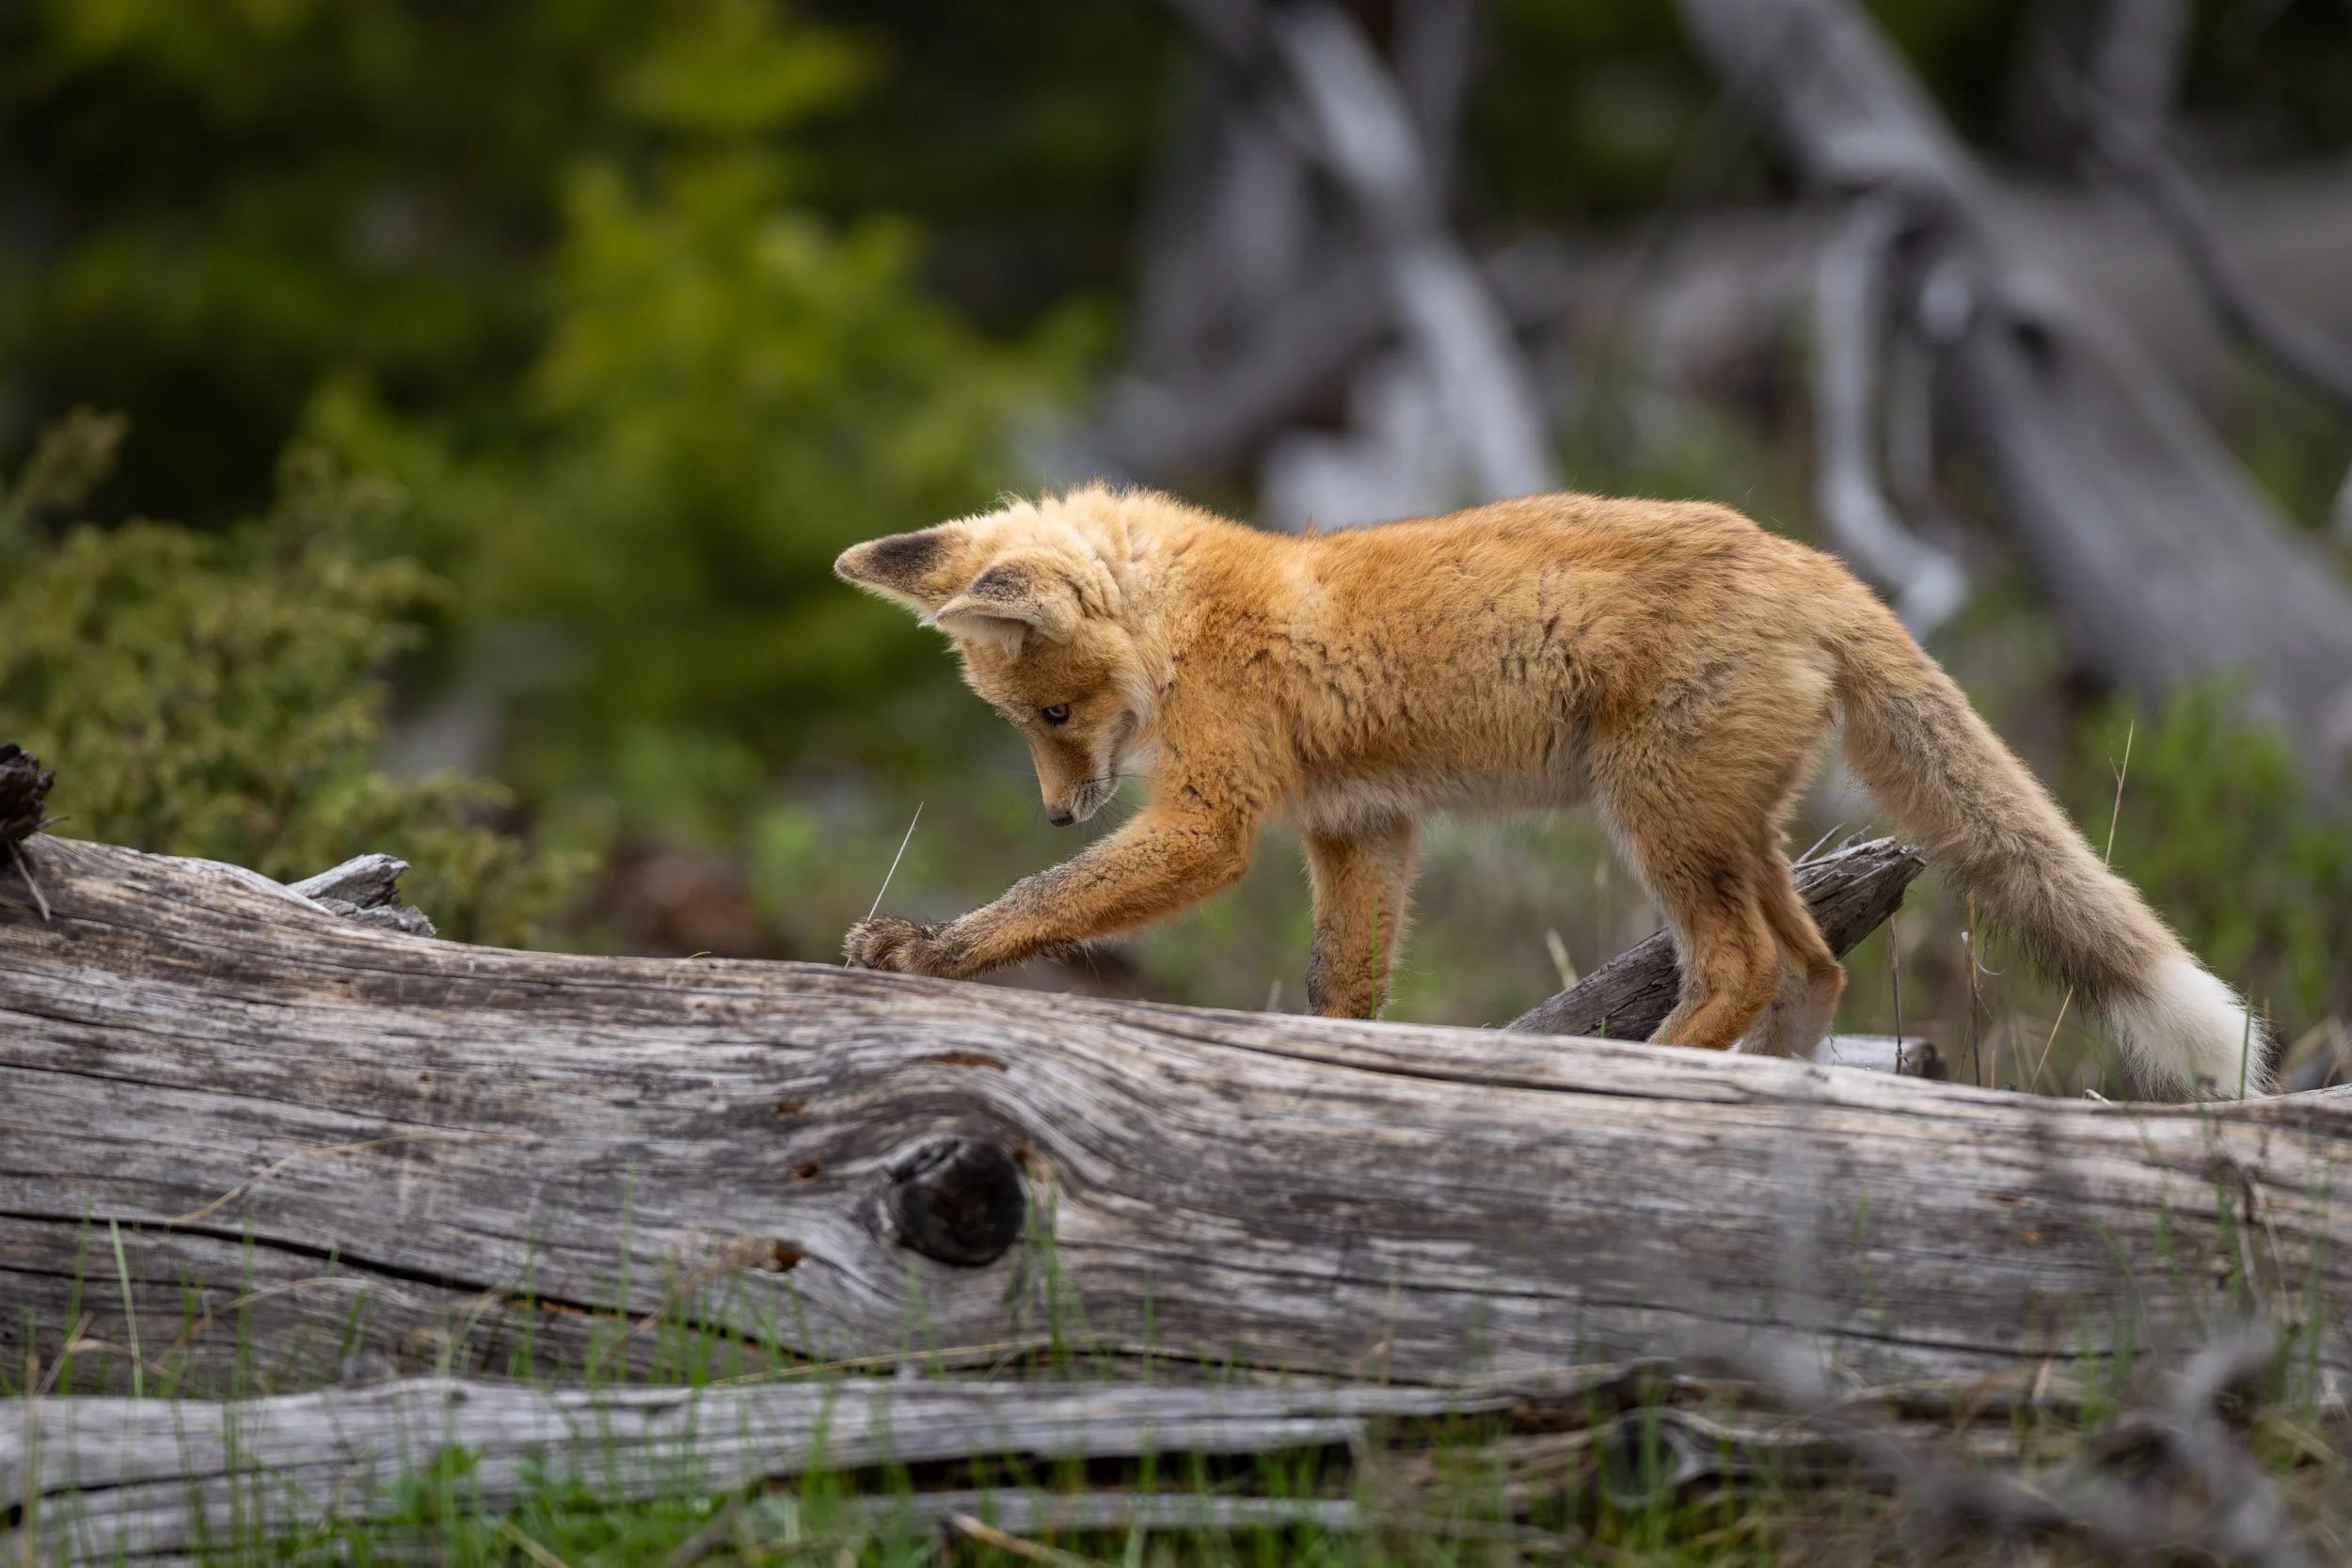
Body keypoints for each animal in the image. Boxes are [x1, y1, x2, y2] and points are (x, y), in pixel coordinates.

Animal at [833, 483, 2270, 1099]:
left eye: (1053, 715)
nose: (1059, 810)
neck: (1181, 613)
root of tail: (1811, 560)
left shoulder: (1215, 819)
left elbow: (1038, 903)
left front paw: (931, 949)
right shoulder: (1361, 826)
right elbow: (1340, 990)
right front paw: (1329, 1074)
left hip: (1659, 821)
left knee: (1745, 964)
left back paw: (1652, 1075)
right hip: (1729, 826)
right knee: (1814, 963)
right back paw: (1790, 1086)